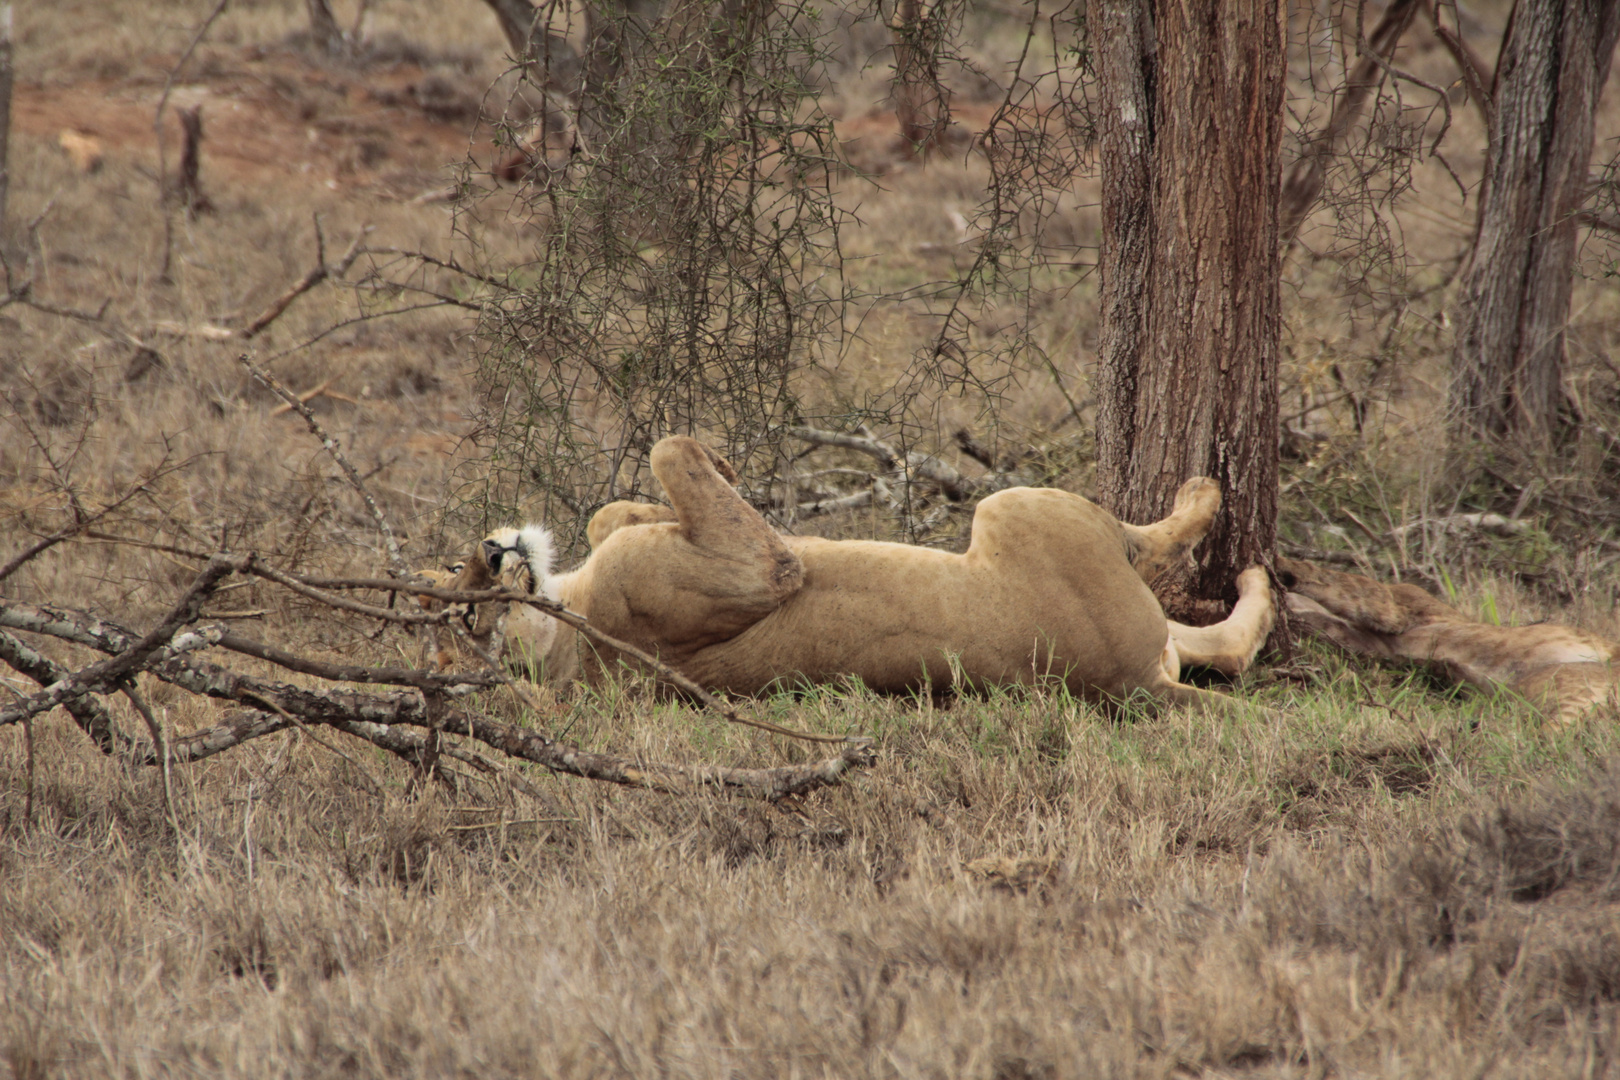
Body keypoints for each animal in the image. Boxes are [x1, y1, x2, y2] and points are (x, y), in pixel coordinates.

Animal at [437, 433, 1270, 712]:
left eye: (453, 577)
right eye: (468, 620)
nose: (493, 549)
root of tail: (1133, 686)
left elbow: (617, 503)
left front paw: (719, 469)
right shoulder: (760, 570)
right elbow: (671, 450)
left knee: (1227, 644)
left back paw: (1253, 575)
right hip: (1018, 508)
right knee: (1156, 542)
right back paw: (1207, 492)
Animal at [1283, 557, 1613, 725]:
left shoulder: (1396, 606)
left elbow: (1336, 581)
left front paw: (1282, 565)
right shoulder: (1372, 643)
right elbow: (1323, 622)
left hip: (1567, 686)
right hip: (1563, 689)